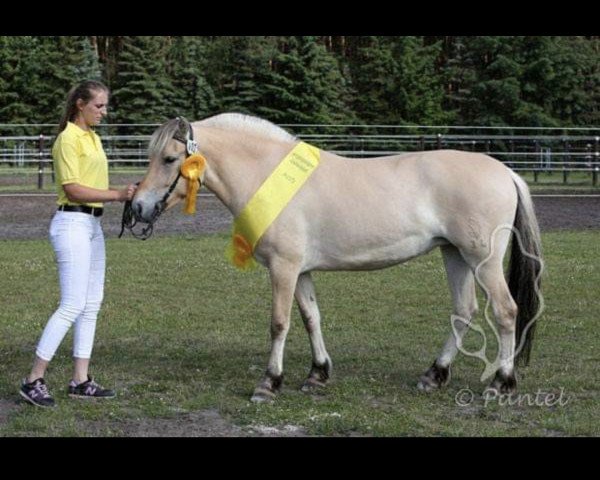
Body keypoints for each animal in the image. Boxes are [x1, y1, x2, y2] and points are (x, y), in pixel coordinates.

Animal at [131, 114, 544, 404]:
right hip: (454, 254)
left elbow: (279, 323)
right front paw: (317, 375)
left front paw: (269, 383)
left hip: (482, 259)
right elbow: (311, 317)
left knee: (506, 311)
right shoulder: (300, 271)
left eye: (170, 158)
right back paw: (434, 375)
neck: (266, 175)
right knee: (463, 311)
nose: (138, 207)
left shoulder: (283, 268)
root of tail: (505, 171)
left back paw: (500, 383)